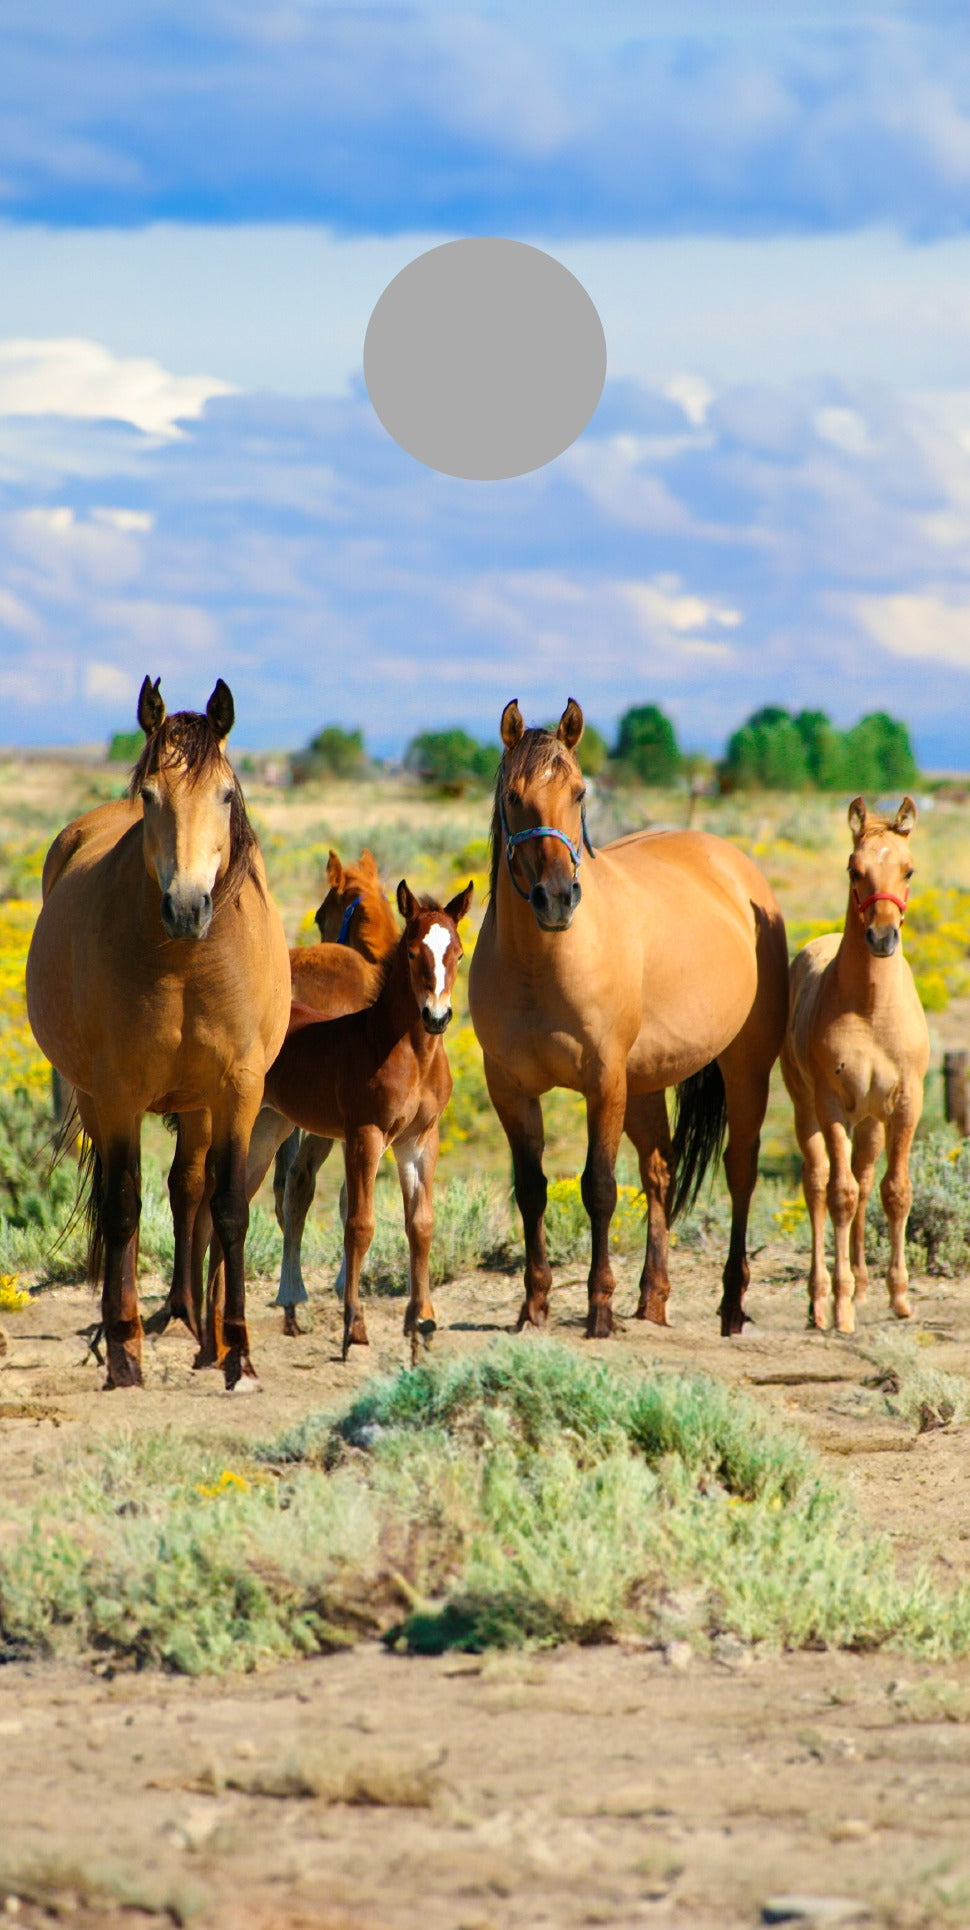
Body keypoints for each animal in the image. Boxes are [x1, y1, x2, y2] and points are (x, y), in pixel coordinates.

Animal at [25, 677, 291, 1390]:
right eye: (151, 796)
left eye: (226, 794)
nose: (188, 907)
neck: (184, 963)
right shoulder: (118, 1095)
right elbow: (121, 1208)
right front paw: (123, 1354)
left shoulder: (238, 1091)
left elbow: (228, 1208)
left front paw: (238, 1354)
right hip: (99, 1099)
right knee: (130, 1201)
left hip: (197, 1103)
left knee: (188, 1190)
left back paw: (196, 1326)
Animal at [209, 881, 472, 1359]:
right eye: (411, 952)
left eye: (458, 954)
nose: (437, 1017)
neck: (407, 1053)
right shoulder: (365, 1134)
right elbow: (359, 1224)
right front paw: (354, 1327)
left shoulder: (420, 1140)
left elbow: (421, 1224)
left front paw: (422, 1322)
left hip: (268, 1131)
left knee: (229, 1207)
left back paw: (220, 1328)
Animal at [467, 699, 790, 1339]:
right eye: (513, 796)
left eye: (579, 792)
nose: (557, 898)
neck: (540, 964)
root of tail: (738, 872)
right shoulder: (510, 1088)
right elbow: (531, 1190)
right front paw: (533, 1307)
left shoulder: (603, 1082)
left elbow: (598, 1188)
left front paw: (598, 1310)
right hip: (645, 1082)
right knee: (660, 1170)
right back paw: (652, 1301)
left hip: (744, 1067)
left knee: (740, 1169)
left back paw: (731, 1305)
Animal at [780, 796, 930, 1334]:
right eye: (854, 868)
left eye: (908, 869)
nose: (881, 937)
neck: (870, 1010)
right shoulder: (831, 1105)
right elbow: (839, 1194)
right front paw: (842, 1306)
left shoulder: (906, 1103)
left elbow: (895, 1190)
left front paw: (899, 1296)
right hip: (808, 1109)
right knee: (819, 1183)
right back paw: (820, 1299)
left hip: (869, 1120)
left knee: (866, 1178)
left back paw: (864, 1284)